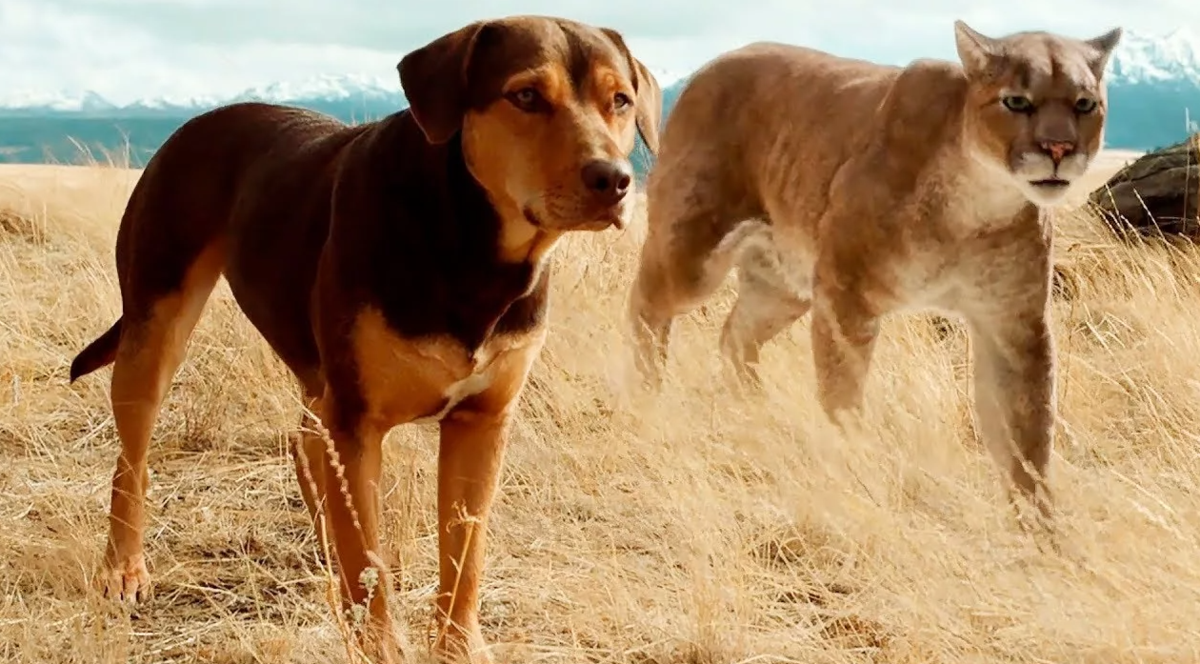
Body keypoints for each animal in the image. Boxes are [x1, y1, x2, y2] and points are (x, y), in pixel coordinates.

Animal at [69, 15, 667, 662]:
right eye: (526, 95)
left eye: (620, 101)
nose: (614, 180)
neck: (473, 250)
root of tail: (197, 121)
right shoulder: (357, 421)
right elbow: (367, 558)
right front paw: (379, 642)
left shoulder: (481, 420)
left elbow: (465, 555)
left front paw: (459, 645)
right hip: (155, 325)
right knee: (132, 460)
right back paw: (123, 569)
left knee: (304, 440)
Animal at [624, 22, 1118, 533]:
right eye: (1017, 102)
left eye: (1085, 104)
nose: (1058, 149)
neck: (978, 201)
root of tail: (712, 64)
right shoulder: (846, 298)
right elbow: (842, 398)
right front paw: (858, 474)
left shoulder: (1012, 323)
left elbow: (1028, 433)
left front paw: (1043, 533)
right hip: (694, 255)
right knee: (646, 305)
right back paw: (643, 398)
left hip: (784, 285)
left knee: (734, 337)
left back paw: (754, 414)